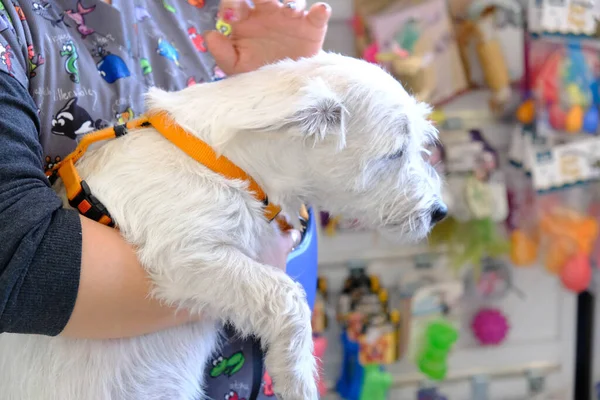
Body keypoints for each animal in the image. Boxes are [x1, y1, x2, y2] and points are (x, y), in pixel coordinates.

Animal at [0, 53, 446, 400]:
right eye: (395, 153)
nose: (440, 211)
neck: (223, 161)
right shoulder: (186, 257)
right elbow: (287, 294)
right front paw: (297, 379)